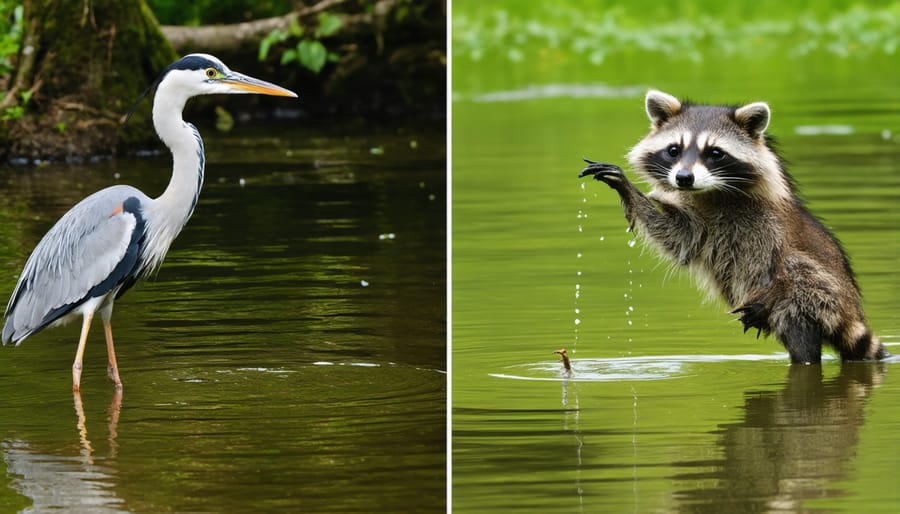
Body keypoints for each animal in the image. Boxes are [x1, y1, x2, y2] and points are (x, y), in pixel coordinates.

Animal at [584, 89, 884, 360]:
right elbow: (677, 236)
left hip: (821, 300)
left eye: (715, 153)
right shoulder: (697, 224)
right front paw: (629, 191)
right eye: (673, 150)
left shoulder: (768, 222)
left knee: (804, 286)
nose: (684, 178)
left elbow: (786, 261)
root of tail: (851, 311)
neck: (712, 192)